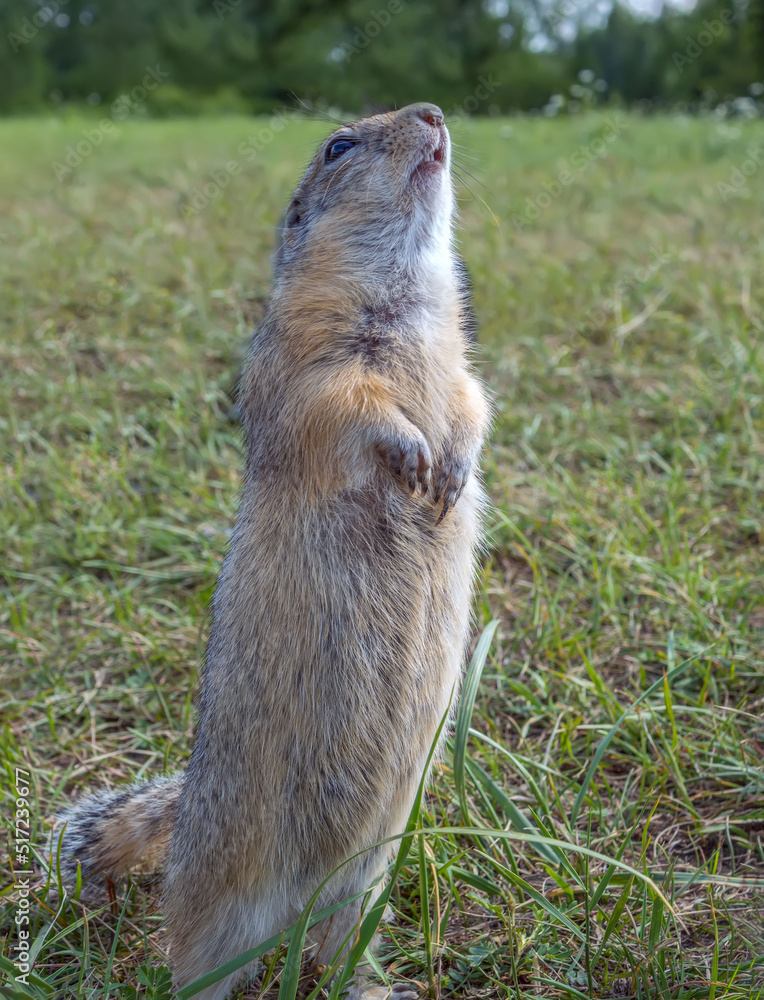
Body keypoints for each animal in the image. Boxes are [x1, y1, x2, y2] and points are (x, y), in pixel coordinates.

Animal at [56, 103, 492, 1000]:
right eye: (339, 145)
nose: (433, 112)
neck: (406, 292)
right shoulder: (303, 362)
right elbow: (348, 402)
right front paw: (413, 456)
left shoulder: (463, 361)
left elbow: (474, 401)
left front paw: (452, 471)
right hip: (220, 906)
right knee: (200, 962)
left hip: (366, 888)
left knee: (334, 950)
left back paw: (374, 985)